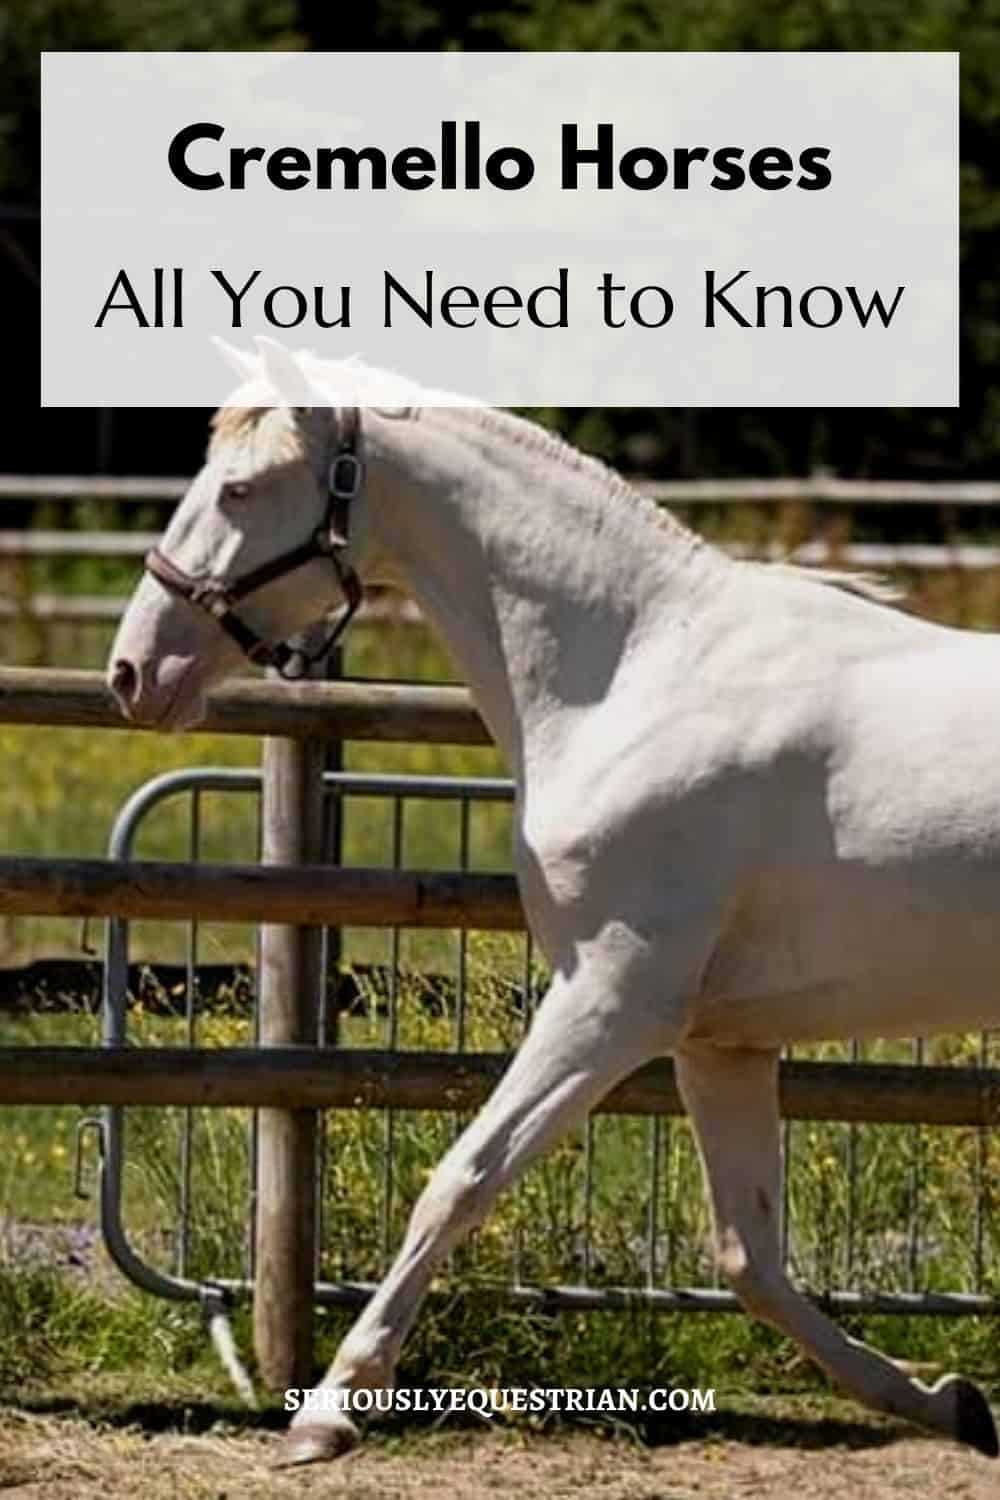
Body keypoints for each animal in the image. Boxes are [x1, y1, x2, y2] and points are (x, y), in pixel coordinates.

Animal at [107, 338, 1000, 1465]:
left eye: (240, 487)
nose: (134, 672)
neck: (634, 672)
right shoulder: (720, 1040)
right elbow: (749, 1256)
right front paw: (947, 1402)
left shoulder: (611, 1001)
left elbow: (460, 1178)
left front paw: (331, 1409)